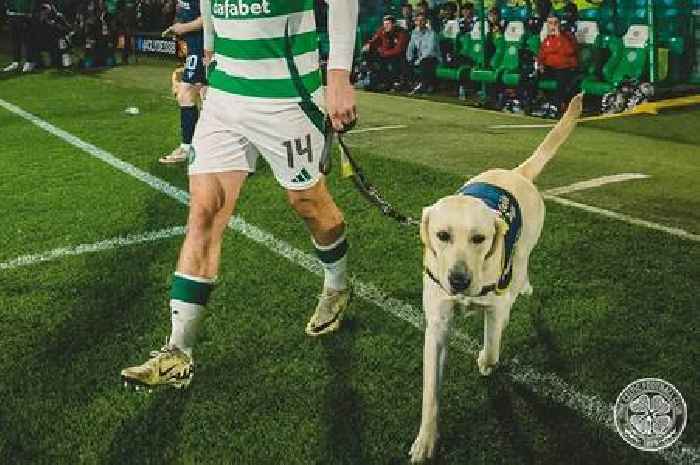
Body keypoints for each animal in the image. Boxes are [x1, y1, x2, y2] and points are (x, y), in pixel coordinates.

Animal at [408, 93, 584, 460]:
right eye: (442, 236)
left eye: (479, 238)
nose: (458, 280)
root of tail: (517, 173)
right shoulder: (437, 325)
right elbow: (430, 393)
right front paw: (426, 440)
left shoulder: (494, 305)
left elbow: (491, 346)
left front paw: (486, 360)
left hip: (525, 246)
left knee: (520, 271)